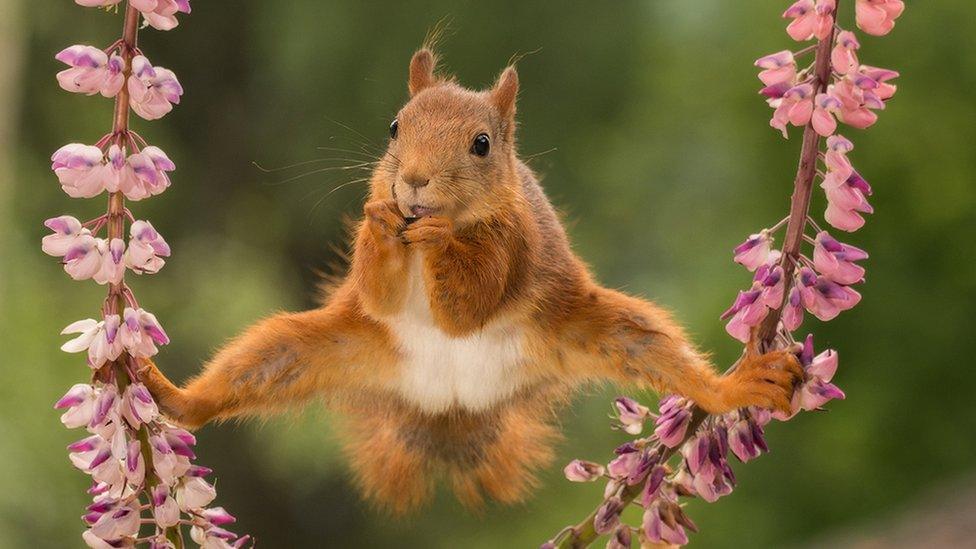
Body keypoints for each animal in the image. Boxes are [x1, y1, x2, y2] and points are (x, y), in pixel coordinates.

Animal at [143, 48, 800, 512]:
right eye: (393, 127)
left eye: (481, 145)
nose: (412, 182)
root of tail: (450, 404)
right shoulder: (378, 284)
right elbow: (380, 291)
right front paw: (382, 222)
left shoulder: (513, 246)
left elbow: (469, 306)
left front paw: (439, 241)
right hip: (320, 347)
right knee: (248, 370)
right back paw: (168, 393)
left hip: (594, 329)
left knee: (660, 353)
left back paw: (737, 386)